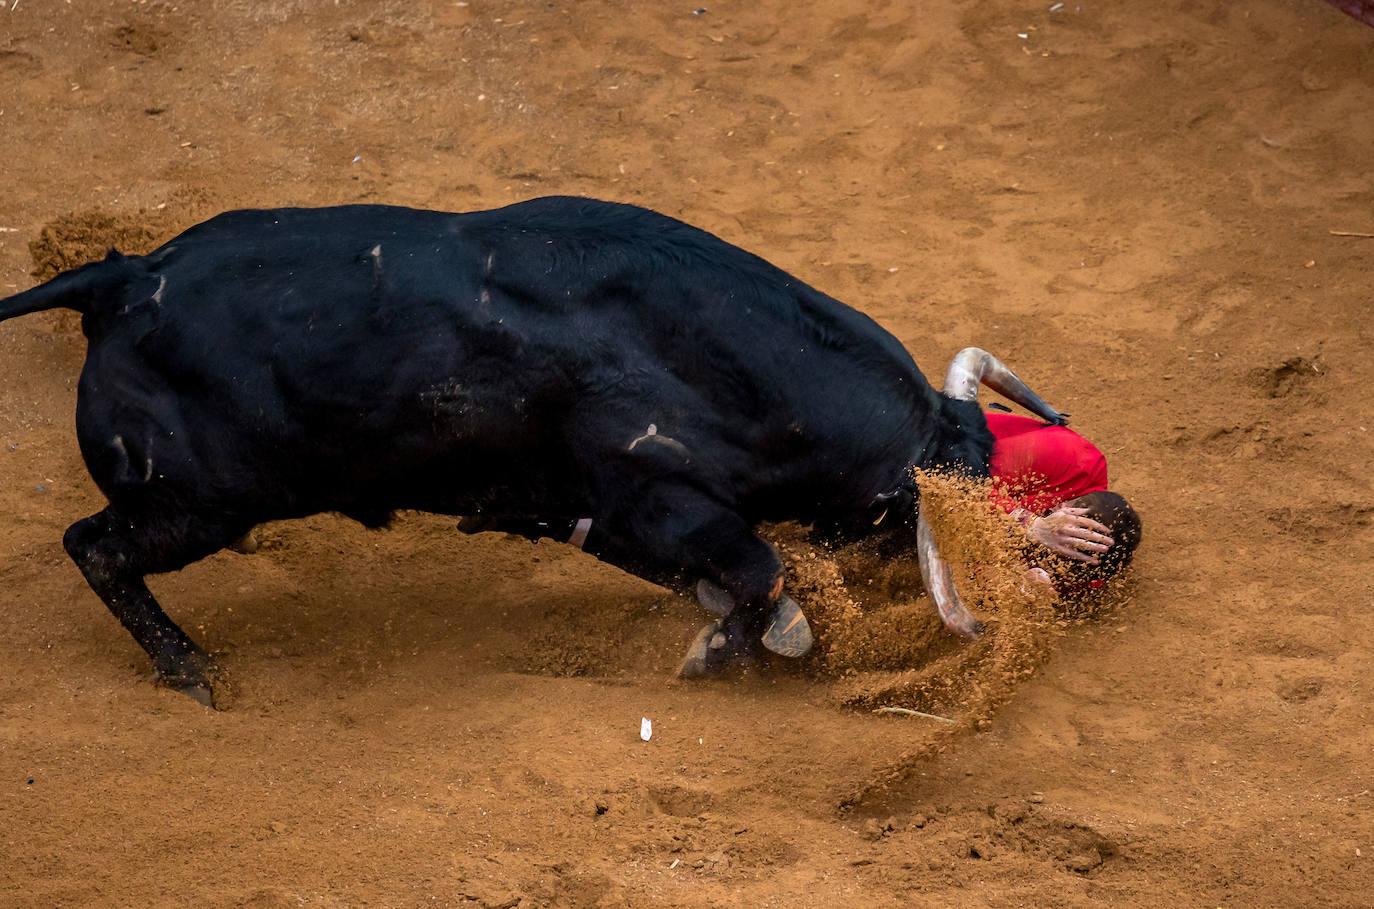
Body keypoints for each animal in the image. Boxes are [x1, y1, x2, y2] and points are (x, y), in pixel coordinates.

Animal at [0, 197, 1060, 703]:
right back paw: (191, 672)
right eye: (901, 522)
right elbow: (761, 569)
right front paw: (726, 650)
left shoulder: (597, 516)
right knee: (95, 547)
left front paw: (733, 631)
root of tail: (122, 278)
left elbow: (731, 576)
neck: (703, 348)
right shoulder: (652, 495)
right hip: (196, 501)